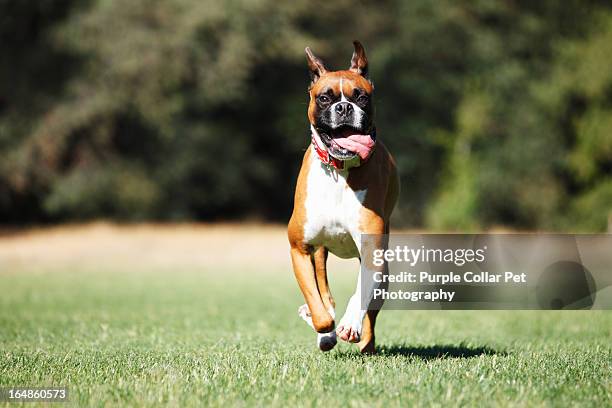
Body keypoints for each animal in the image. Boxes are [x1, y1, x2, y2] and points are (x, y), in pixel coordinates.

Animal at [288, 42, 400, 354]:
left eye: (360, 96)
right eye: (325, 98)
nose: (344, 107)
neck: (339, 170)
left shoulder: (373, 253)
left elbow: (360, 294)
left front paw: (350, 324)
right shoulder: (299, 248)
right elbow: (320, 306)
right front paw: (322, 326)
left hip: (383, 271)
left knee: (371, 312)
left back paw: (365, 341)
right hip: (319, 253)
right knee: (324, 292)